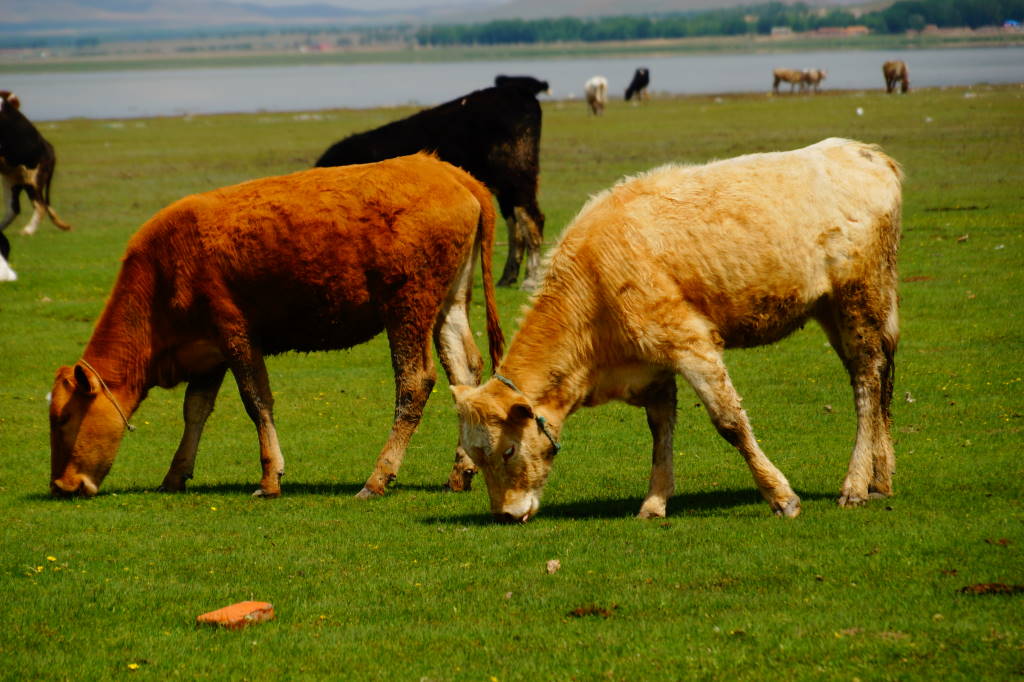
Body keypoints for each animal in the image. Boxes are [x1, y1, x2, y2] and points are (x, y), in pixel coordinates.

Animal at [0, 91, 71, 280]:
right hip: (11, 179)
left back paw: (27, 230)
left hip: (33, 179)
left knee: (40, 206)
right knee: (14, 208)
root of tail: (50, 148)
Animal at [49, 152, 505, 499]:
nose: (61, 485)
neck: (164, 268)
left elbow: (256, 402)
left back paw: (377, 478)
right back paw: (460, 471)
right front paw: (176, 474)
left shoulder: (236, 333)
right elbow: (195, 410)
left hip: (407, 308)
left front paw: (270, 478)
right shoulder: (208, 352)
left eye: (62, 418)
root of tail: (447, 171)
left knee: (415, 381)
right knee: (464, 372)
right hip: (447, 305)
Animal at [317, 85, 544, 286]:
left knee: (532, 219)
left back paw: (531, 280)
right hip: (506, 187)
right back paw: (507, 278)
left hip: (518, 178)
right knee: (516, 225)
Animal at [452, 137, 901, 520]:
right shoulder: (652, 366)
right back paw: (880, 478)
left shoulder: (690, 343)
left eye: (508, 451)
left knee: (866, 383)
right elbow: (660, 431)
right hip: (833, 310)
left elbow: (730, 422)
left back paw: (855, 485)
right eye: (476, 458)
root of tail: (867, 153)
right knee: (875, 378)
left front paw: (780, 496)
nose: (506, 514)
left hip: (860, 299)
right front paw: (654, 502)